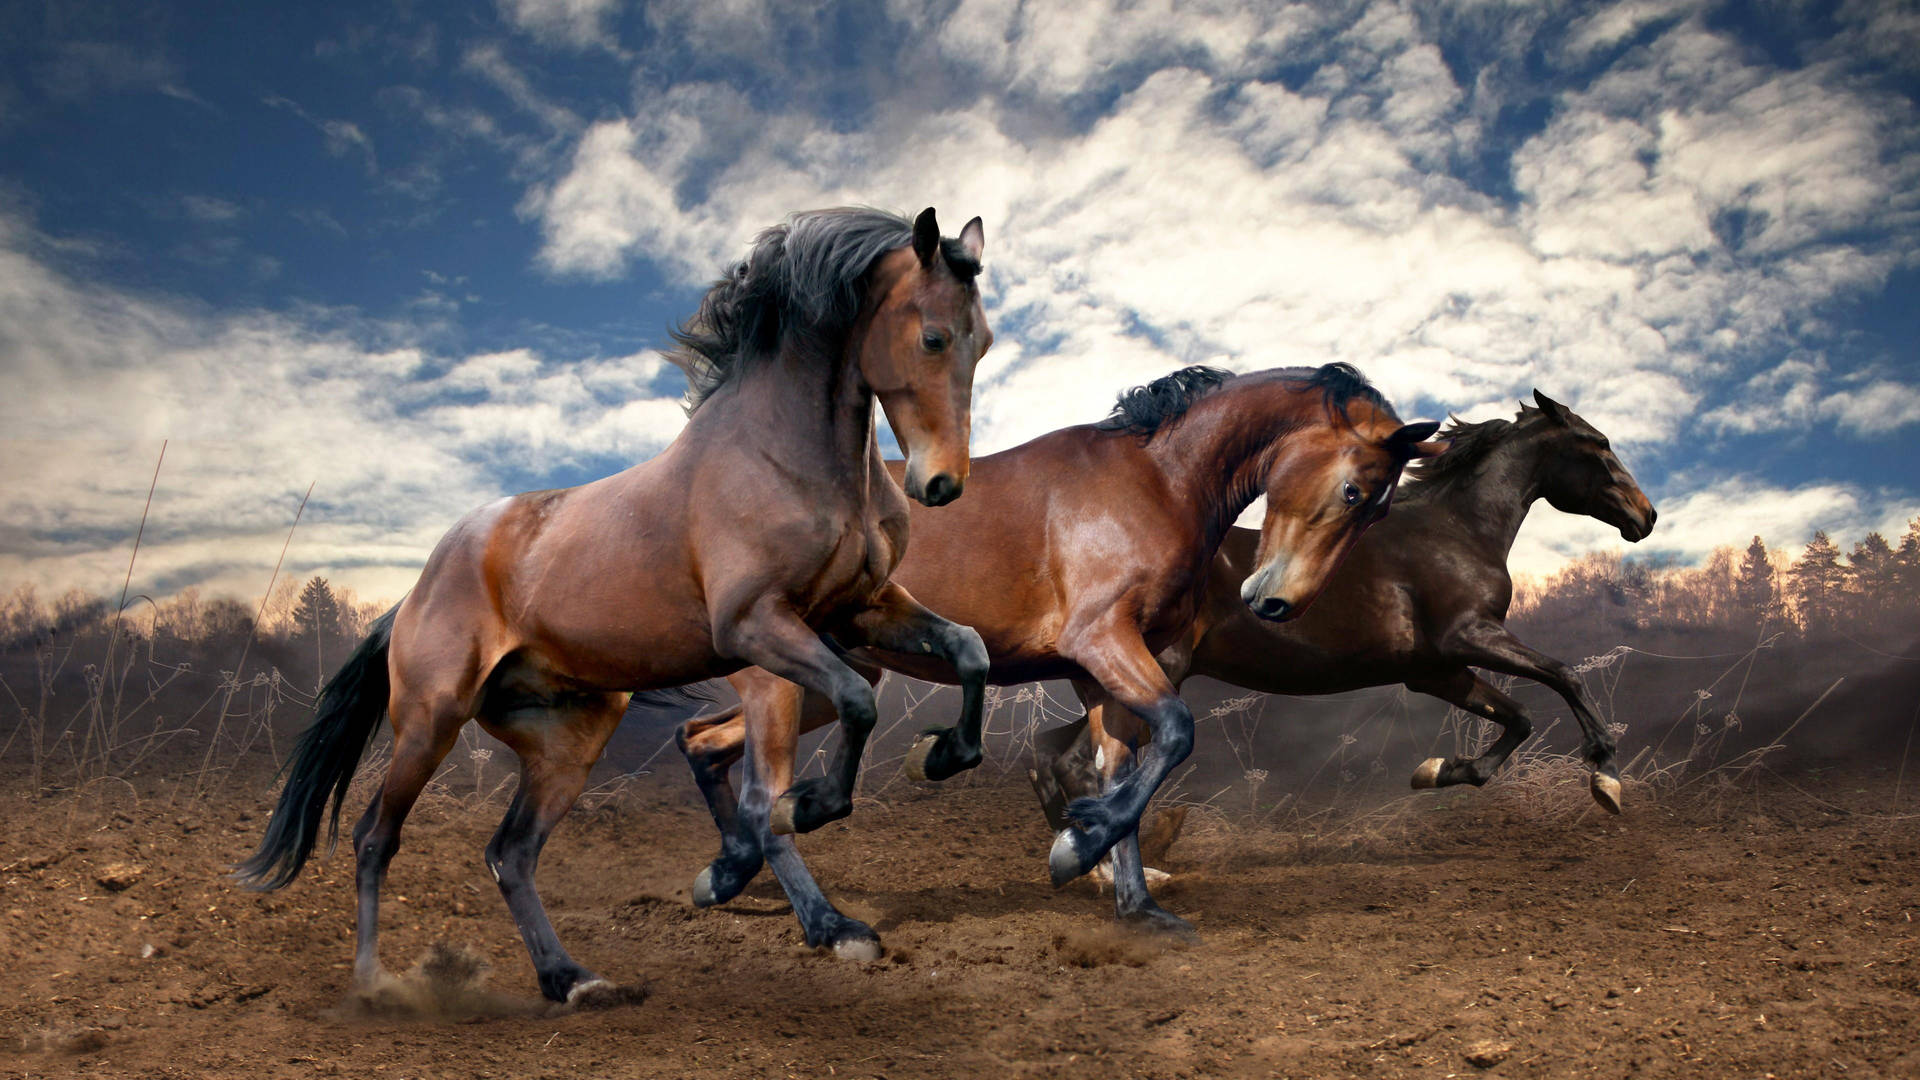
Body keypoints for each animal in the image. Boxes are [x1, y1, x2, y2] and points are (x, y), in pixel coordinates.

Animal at [232, 203, 998, 999]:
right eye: (933, 336)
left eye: (985, 341)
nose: (941, 484)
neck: (786, 457)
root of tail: (412, 594)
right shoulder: (754, 626)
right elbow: (851, 706)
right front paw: (812, 819)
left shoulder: (861, 608)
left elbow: (967, 649)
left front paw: (940, 756)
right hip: (429, 721)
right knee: (374, 838)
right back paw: (375, 982)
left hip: (570, 738)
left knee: (509, 853)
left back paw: (569, 978)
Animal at [675, 363, 1443, 941]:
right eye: (1354, 491)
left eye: (1377, 508)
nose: (1278, 603)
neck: (1156, 481)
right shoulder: (1103, 641)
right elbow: (1175, 732)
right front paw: (1077, 847)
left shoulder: (1101, 672)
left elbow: (1122, 767)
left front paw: (1134, 900)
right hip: (782, 682)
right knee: (761, 796)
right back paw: (827, 923)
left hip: (829, 679)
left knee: (702, 741)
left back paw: (724, 874)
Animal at [1036, 386, 1666, 857]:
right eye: (1599, 444)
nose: (1648, 516)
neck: (1456, 531)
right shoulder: (1470, 636)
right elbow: (1565, 675)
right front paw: (1606, 778)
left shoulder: (1436, 670)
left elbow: (1518, 718)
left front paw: (1438, 770)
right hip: (1156, 675)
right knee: (1077, 762)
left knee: (1051, 757)